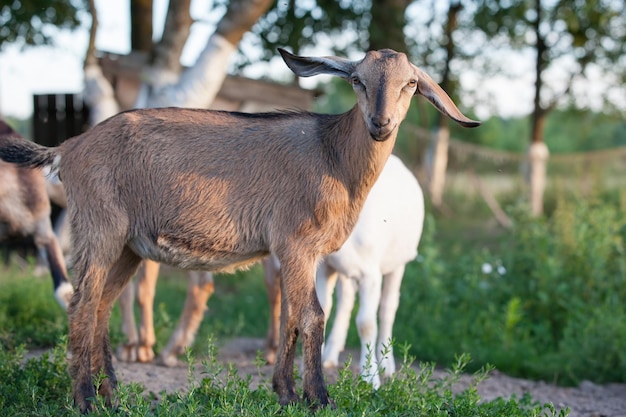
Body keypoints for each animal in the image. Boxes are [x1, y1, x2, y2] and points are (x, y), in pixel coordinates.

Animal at [260, 153, 422, 386]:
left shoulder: (371, 275)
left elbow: (366, 323)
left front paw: (370, 377)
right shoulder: (324, 267)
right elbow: (324, 309)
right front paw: (311, 367)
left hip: (398, 263)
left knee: (388, 308)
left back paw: (387, 365)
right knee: (345, 301)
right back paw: (330, 355)